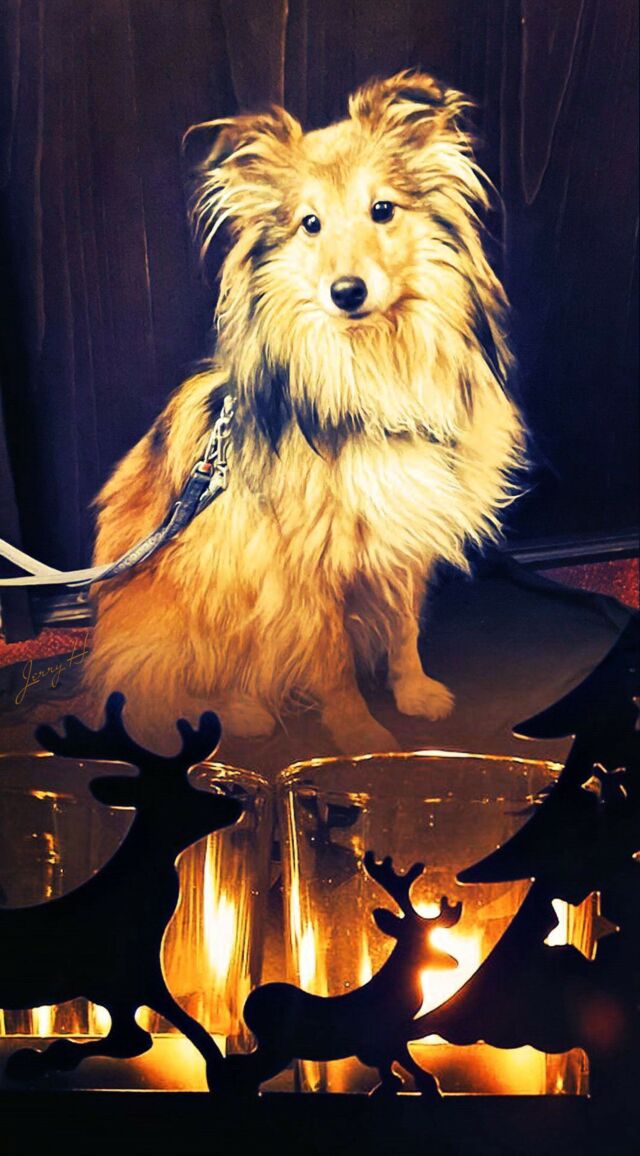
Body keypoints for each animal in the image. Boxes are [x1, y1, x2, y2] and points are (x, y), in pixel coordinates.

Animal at [84, 70, 524, 754]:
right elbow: (333, 660)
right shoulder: (302, 567)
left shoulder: (405, 532)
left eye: (382, 209)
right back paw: (242, 710)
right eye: (309, 224)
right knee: (167, 684)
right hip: (195, 595)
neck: (370, 361)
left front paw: (415, 693)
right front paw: (361, 736)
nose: (347, 293)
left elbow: (404, 631)